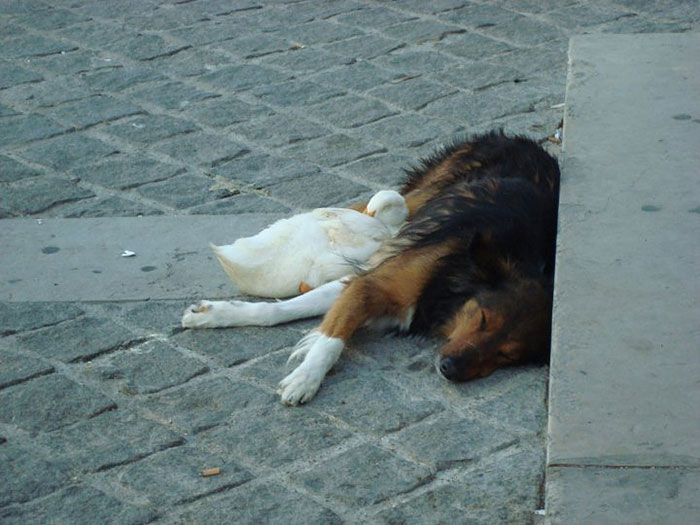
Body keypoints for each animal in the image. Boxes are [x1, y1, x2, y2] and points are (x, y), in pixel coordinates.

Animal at [183, 131, 560, 406]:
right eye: (482, 319)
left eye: (507, 355)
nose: (449, 369)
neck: (452, 281)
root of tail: (520, 138)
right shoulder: (378, 281)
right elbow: (327, 334)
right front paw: (307, 376)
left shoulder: (369, 282)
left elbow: (296, 311)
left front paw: (216, 315)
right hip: (423, 194)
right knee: (376, 206)